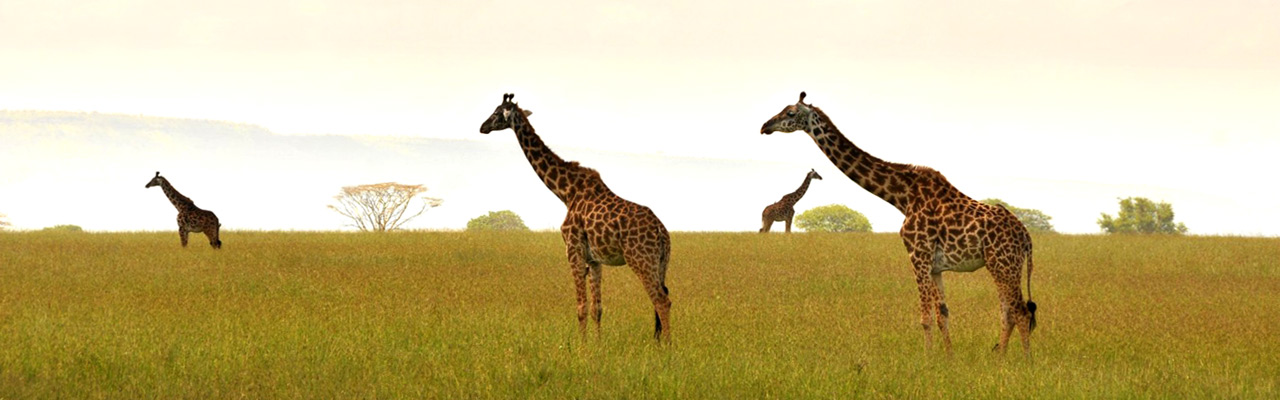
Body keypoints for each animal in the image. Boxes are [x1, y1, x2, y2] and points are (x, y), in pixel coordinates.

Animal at [481, 92, 675, 341]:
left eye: (497, 112)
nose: (482, 127)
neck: (566, 192)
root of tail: (661, 232)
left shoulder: (573, 250)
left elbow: (581, 307)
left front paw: (581, 347)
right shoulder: (594, 259)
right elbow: (597, 308)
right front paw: (598, 345)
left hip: (641, 259)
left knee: (661, 300)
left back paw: (667, 346)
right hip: (661, 262)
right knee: (663, 297)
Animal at [752, 92, 1034, 353]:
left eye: (790, 113)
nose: (765, 126)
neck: (902, 196)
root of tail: (1026, 237)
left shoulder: (917, 256)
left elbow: (925, 318)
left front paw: (928, 361)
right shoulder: (935, 266)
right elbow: (943, 314)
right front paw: (949, 358)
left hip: (1003, 263)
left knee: (1020, 312)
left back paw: (1024, 363)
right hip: (1000, 265)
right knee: (1009, 311)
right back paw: (1000, 358)